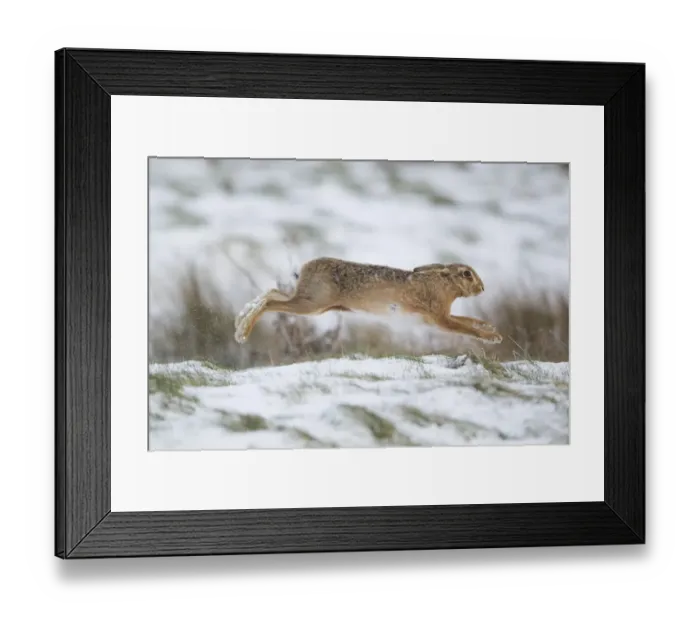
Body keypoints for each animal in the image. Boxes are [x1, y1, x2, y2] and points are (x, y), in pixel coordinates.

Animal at [234, 257, 503, 345]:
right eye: (466, 274)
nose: (482, 288)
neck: (443, 284)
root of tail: (306, 267)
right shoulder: (439, 319)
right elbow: (465, 327)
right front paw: (493, 338)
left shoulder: (443, 315)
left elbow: (468, 319)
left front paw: (492, 328)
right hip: (312, 304)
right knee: (270, 303)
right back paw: (242, 334)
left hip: (311, 303)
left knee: (271, 293)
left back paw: (239, 321)